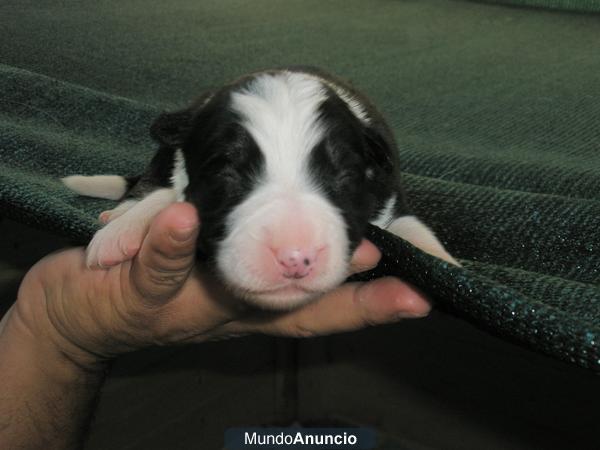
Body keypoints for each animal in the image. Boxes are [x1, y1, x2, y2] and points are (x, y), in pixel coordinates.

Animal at [62, 66, 460, 310]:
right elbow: (172, 194)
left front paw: (444, 265)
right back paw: (122, 219)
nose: (294, 257)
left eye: (344, 175)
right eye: (226, 172)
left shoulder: (389, 194)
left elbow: (413, 230)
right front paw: (123, 230)